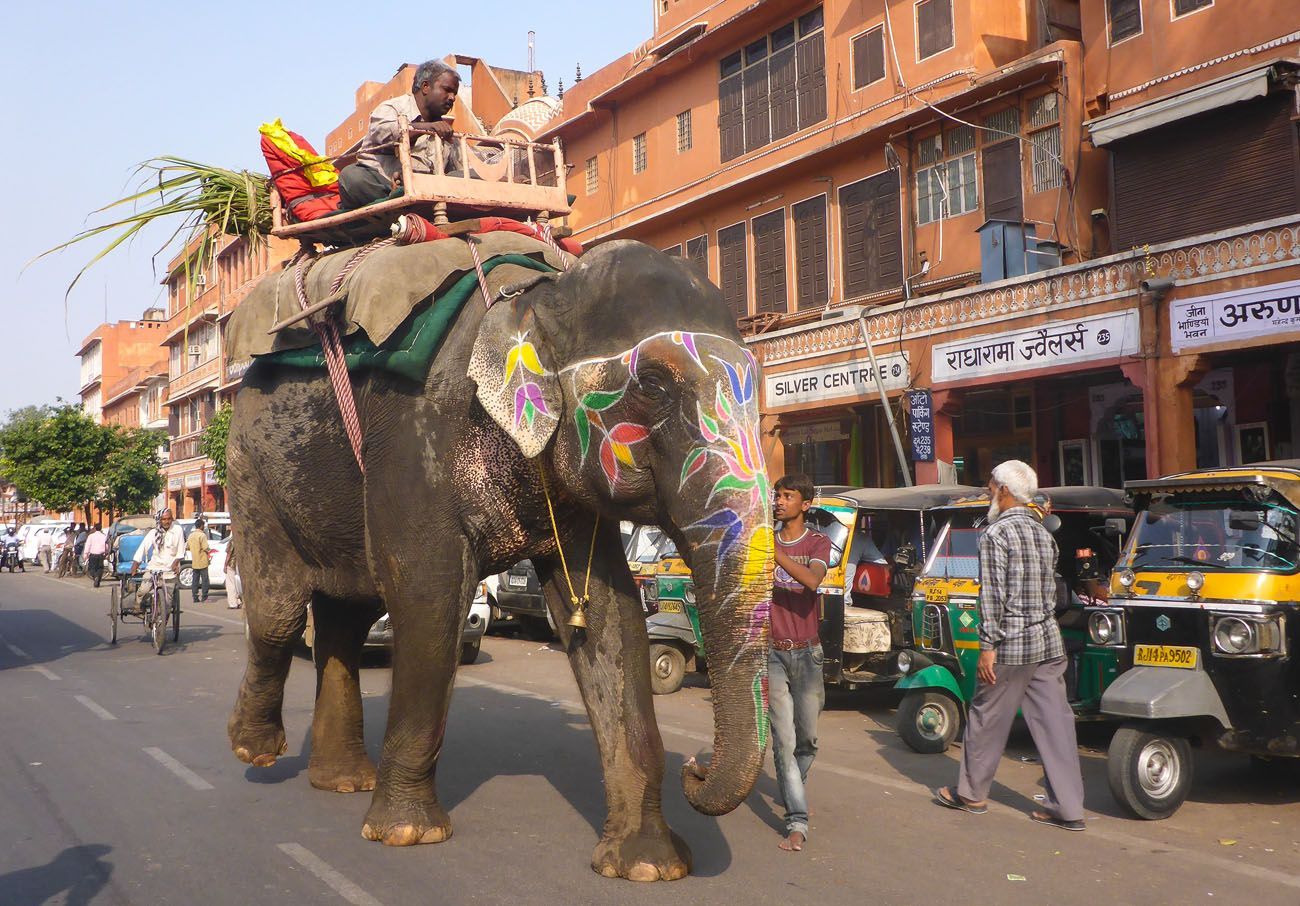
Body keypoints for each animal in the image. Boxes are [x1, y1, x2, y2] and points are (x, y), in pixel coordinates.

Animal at [224, 239, 774, 878]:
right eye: (655, 385)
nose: (699, 766)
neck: (537, 300)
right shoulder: (414, 438)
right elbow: (430, 599)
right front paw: (407, 834)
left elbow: (611, 621)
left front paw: (647, 866)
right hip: (250, 470)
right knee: (281, 616)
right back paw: (256, 750)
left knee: (347, 613)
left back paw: (342, 781)